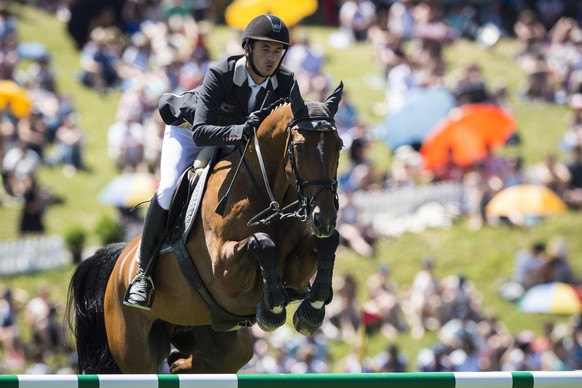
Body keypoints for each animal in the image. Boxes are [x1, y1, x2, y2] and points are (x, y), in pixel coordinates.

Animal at [67, 81, 346, 372]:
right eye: (300, 147)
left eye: (339, 146)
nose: (324, 218)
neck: (268, 193)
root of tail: (120, 261)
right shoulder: (223, 271)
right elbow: (261, 242)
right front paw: (273, 308)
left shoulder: (295, 272)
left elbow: (328, 241)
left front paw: (311, 309)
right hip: (134, 352)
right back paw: (140, 289)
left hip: (219, 343)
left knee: (185, 363)